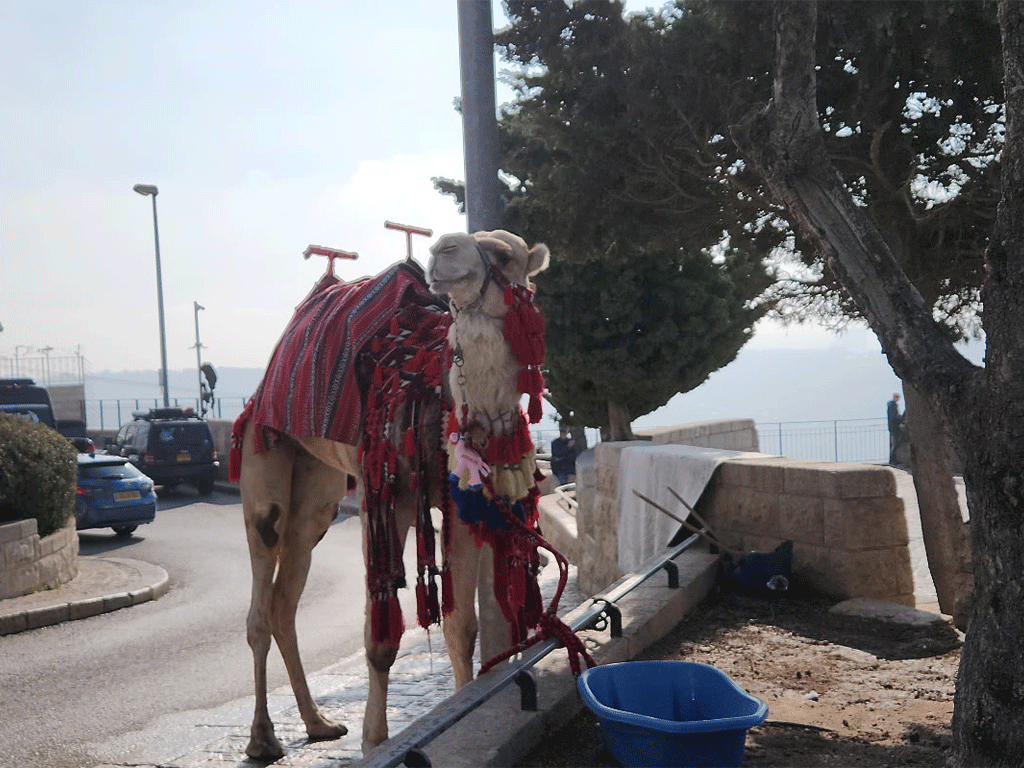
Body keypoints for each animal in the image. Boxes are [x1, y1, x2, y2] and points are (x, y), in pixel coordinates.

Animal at [233, 229, 552, 760]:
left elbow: (461, 626)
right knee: (261, 594)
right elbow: (380, 637)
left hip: (318, 491)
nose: (443, 249)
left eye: (505, 254)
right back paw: (262, 739)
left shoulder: (459, 502)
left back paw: (318, 723)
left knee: (285, 598)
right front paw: (374, 741)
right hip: (265, 458)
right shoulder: (384, 498)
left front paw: (460, 714)